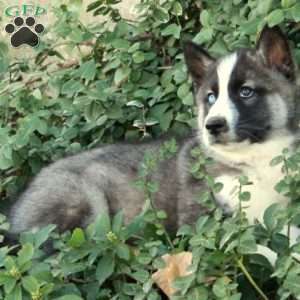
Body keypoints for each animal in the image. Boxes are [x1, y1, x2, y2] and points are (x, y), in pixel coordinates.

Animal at [5, 25, 300, 260]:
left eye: (246, 92)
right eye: (210, 97)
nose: (212, 126)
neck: (254, 160)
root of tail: (14, 212)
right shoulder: (200, 226)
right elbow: (257, 248)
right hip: (85, 205)